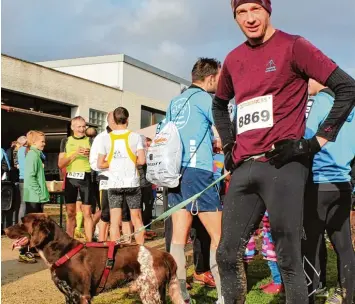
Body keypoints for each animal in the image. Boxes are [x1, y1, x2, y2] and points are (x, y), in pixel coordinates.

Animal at [4, 214, 184, 304]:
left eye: (22, 222)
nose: (4, 229)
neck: (62, 251)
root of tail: (164, 254)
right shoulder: (69, 297)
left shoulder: (82, 296)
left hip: (149, 293)